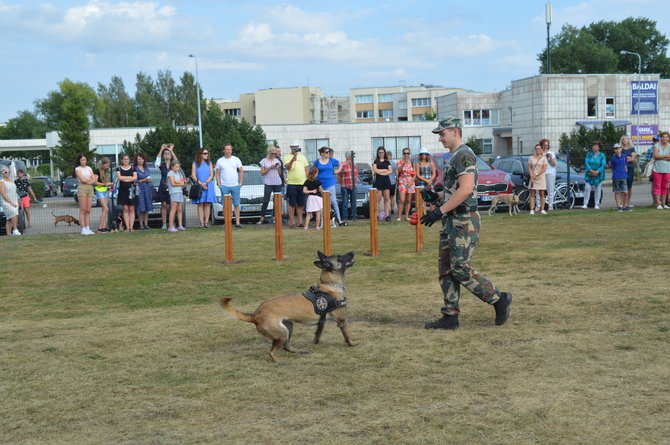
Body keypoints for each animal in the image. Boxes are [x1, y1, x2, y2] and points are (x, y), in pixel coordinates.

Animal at [222, 250, 356, 360]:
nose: (352, 252)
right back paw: (279, 361)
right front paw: (352, 344)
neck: (329, 285)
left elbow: (318, 333)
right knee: (271, 351)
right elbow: (347, 335)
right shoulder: (342, 320)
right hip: (282, 333)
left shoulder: (322, 321)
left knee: (286, 346)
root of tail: (254, 315)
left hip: (289, 327)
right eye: (339, 257)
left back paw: (299, 351)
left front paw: (316, 341)